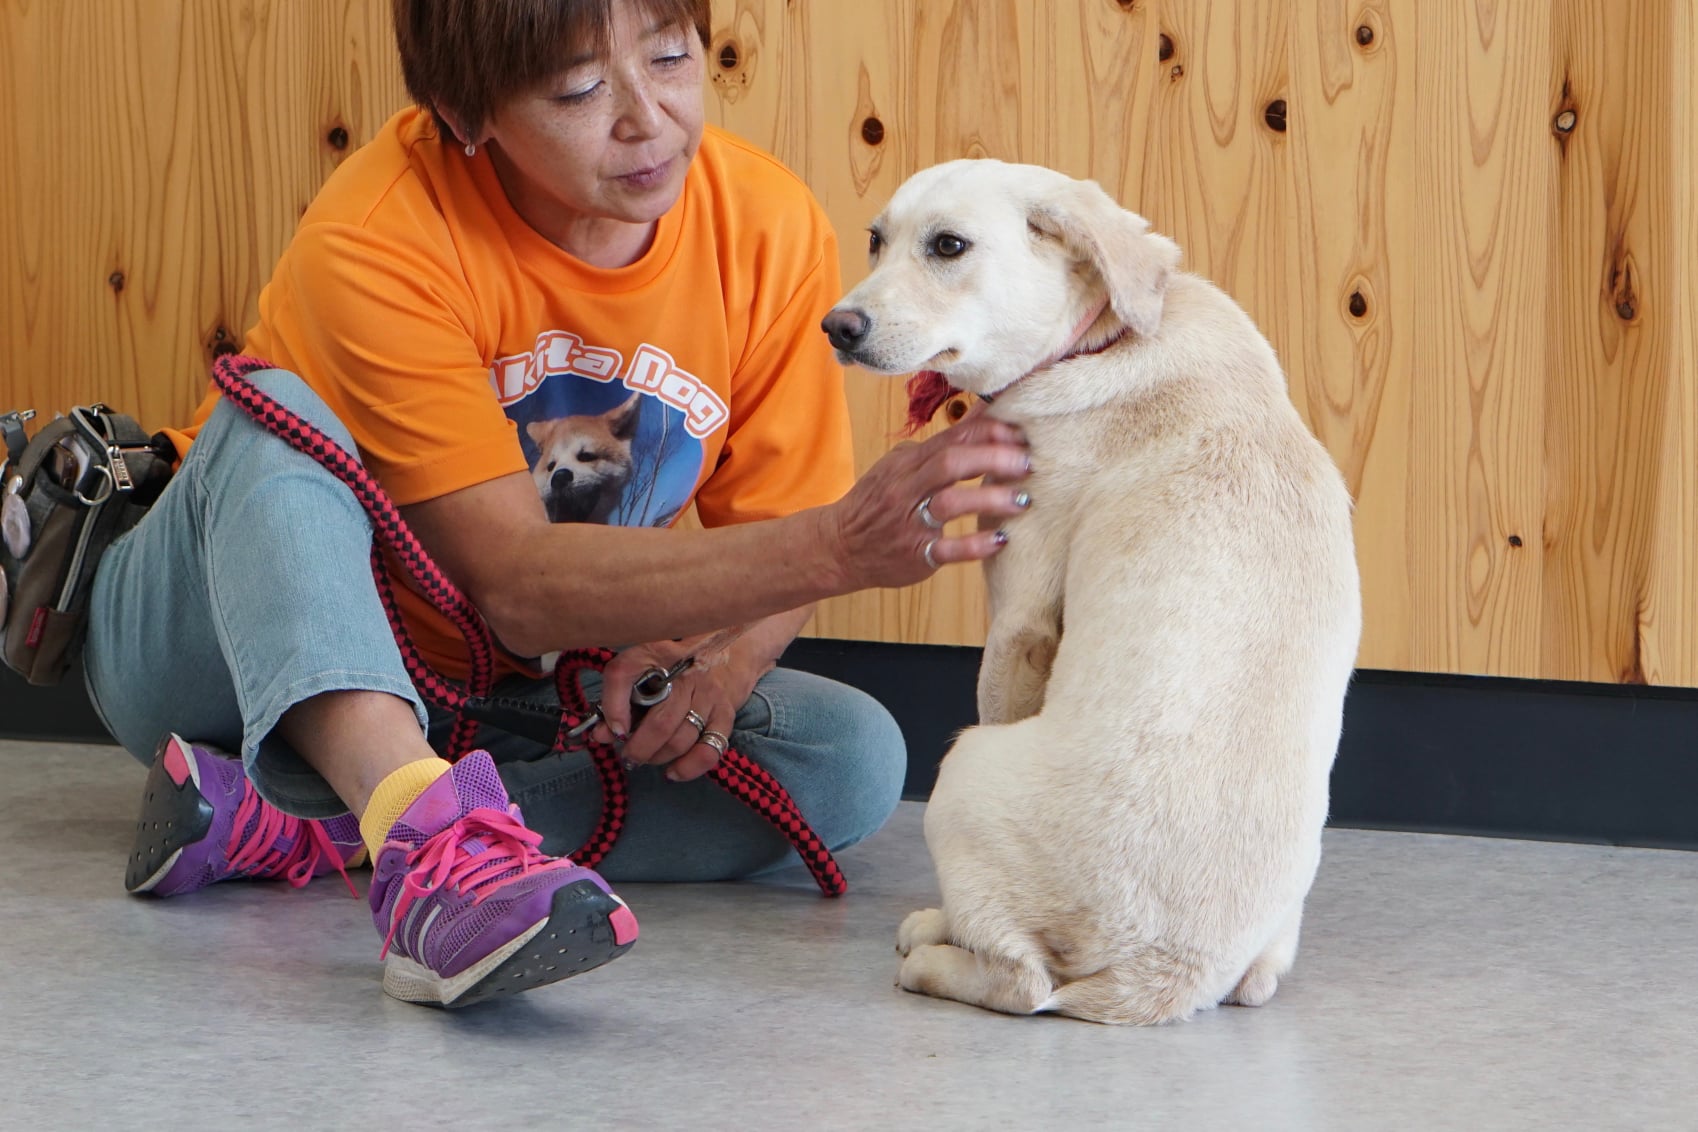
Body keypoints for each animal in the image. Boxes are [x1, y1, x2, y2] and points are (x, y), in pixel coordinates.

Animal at [821, 161, 1365, 1025]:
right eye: (877, 239)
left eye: (949, 246)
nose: (836, 327)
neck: (1098, 342)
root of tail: (1162, 974)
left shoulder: (1018, 620)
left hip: (962, 770)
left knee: (1022, 980)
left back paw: (934, 948)